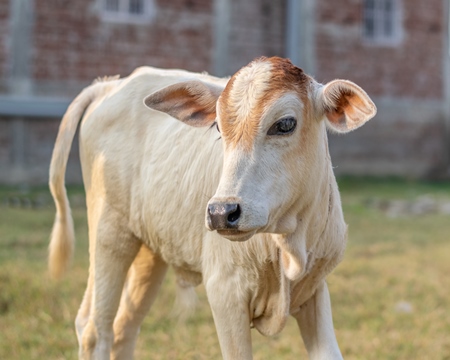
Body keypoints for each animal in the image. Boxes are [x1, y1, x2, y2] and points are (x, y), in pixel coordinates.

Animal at [49, 57, 376, 360]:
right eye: (218, 126)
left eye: (285, 124)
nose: (221, 212)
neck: (289, 244)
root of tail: (110, 85)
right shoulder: (225, 291)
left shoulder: (316, 289)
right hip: (109, 234)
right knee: (96, 330)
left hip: (148, 252)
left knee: (122, 329)